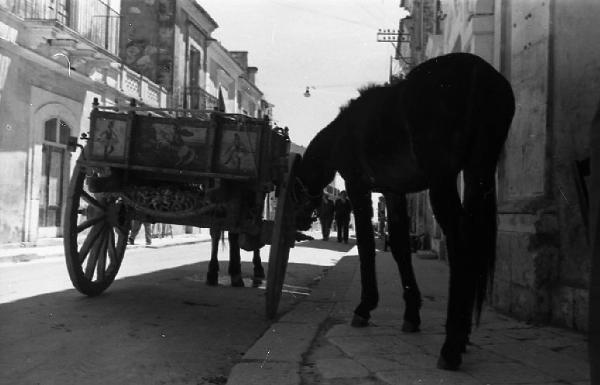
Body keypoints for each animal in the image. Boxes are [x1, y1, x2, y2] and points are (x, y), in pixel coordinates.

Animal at [296, 53, 516, 368]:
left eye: (296, 188)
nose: (301, 222)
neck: (343, 133)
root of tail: (478, 70)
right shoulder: (394, 191)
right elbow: (400, 247)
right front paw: (412, 314)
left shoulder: (357, 186)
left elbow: (366, 245)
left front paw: (365, 306)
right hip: (480, 170)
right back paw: (461, 337)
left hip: (443, 180)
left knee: (460, 242)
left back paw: (451, 345)